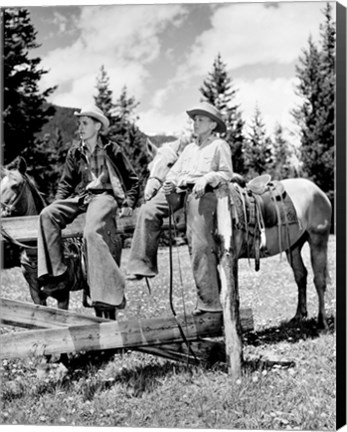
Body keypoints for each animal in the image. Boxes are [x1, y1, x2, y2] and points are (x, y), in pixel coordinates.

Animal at [143, 138, 334, 330]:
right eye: (150, 165)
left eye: (170, 164)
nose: (148, 193)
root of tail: (318, 191)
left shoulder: (231, 257)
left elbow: (233, 295)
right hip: (293, 247)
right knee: (301, 276)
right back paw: (298, 315)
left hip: (318, 240)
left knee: (319, 280)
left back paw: (322, 321)